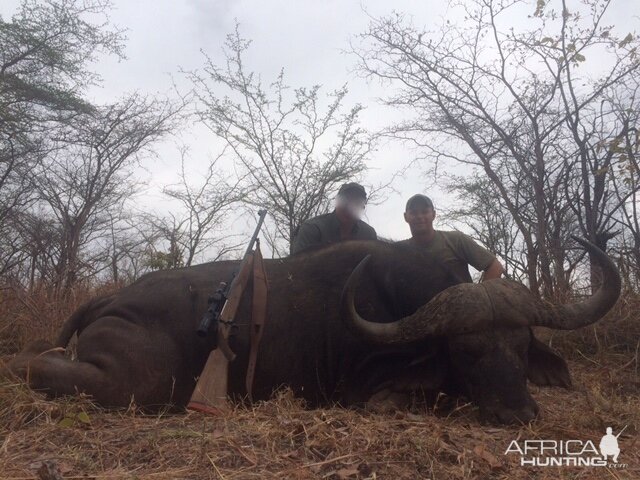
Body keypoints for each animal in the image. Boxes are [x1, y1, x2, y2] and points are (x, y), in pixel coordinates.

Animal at [1, 236, 620, 424]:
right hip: (131, 384)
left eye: (520, 345)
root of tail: (113, 297)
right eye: (467, 351)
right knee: (36, 364)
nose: (520, 414)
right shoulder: (371, 389)